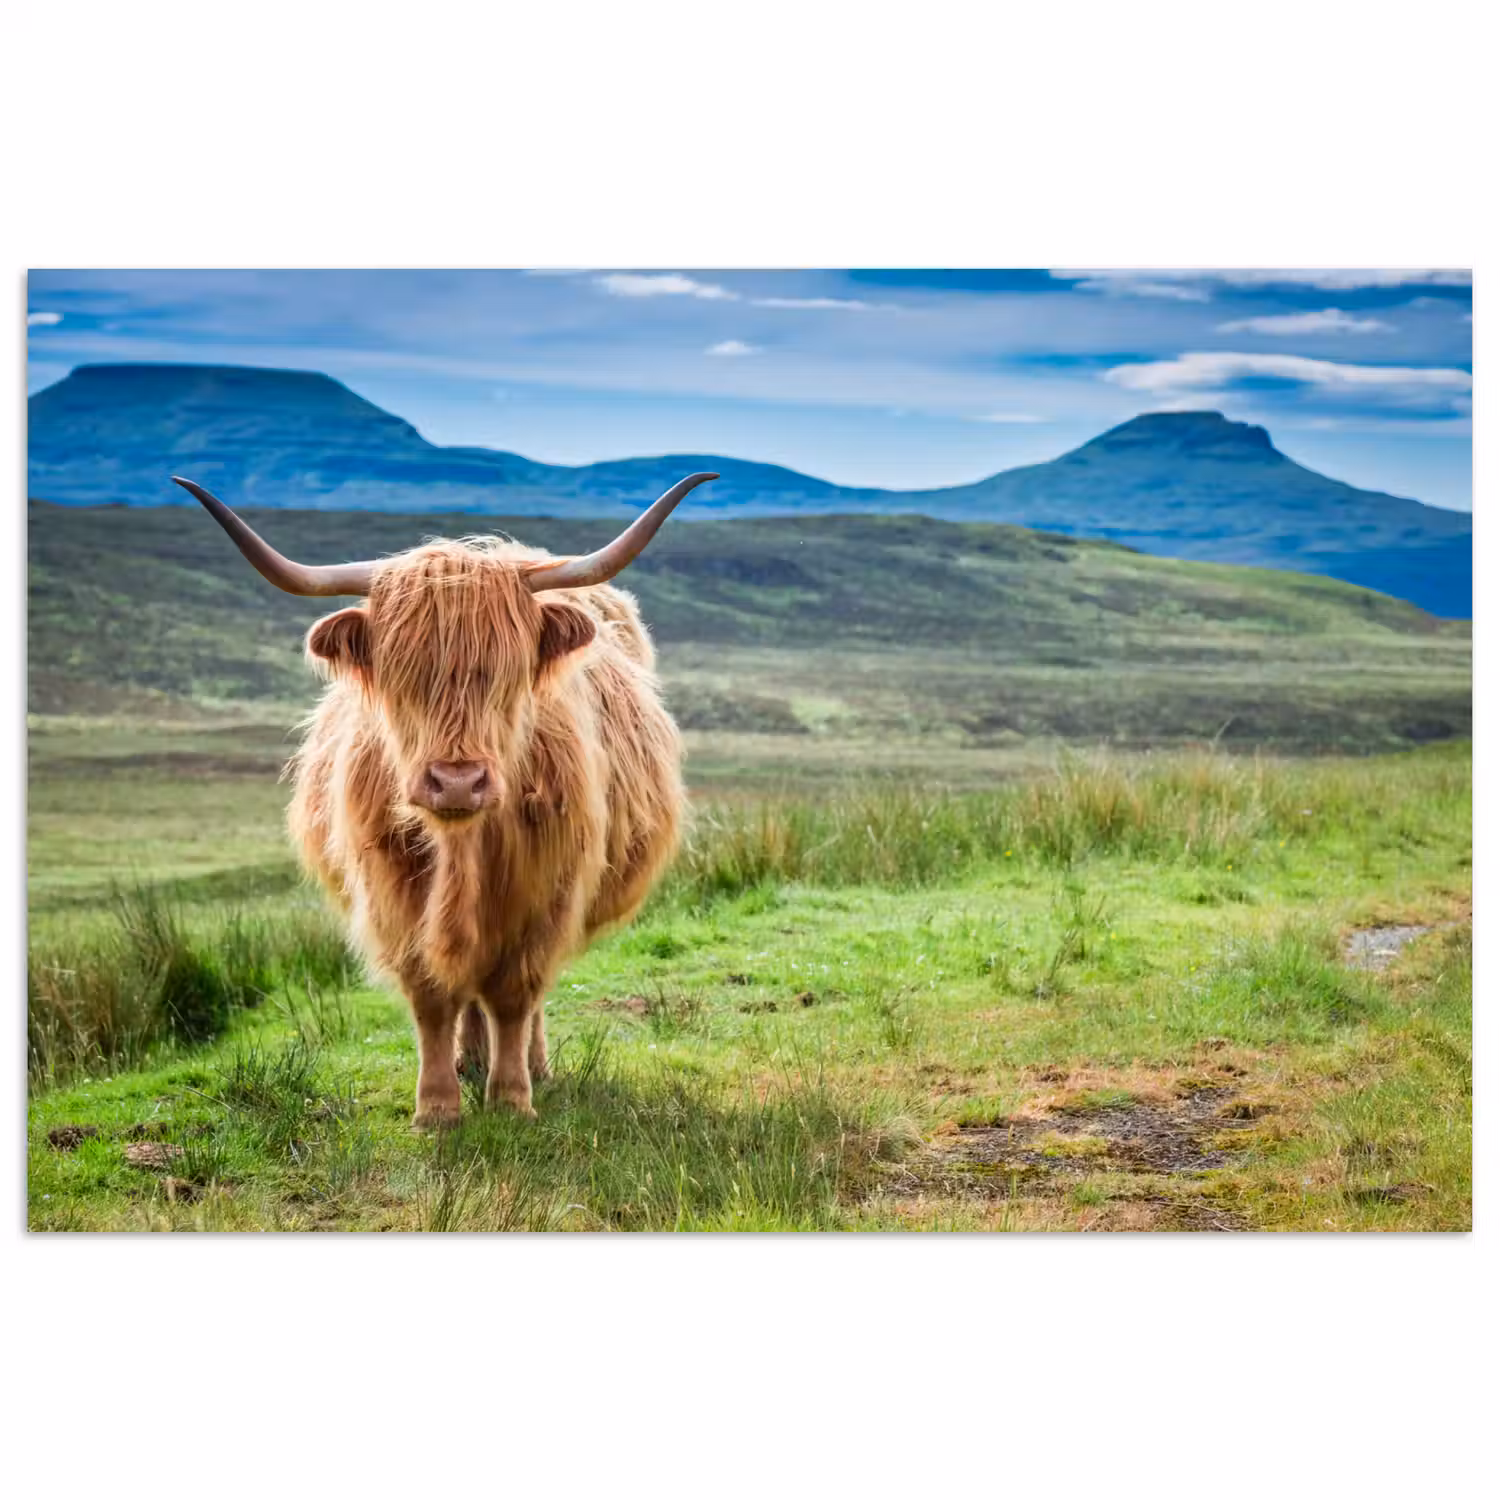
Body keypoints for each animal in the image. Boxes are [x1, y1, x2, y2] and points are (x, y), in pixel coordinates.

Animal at [172, 472, 715, 1127]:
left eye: (507, 673)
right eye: (402, 675)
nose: (457, 782)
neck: (463, 847)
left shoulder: (546, 892)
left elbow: (514, 994)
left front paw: (511, 1099)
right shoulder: (393, 892)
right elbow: (432, 996)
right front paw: (437, 1107)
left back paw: (529, 1066)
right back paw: (469, 1060)